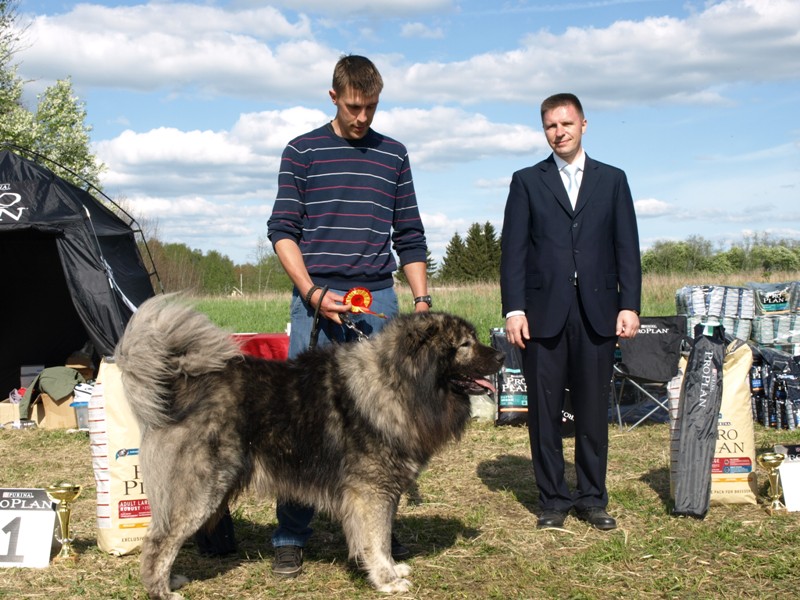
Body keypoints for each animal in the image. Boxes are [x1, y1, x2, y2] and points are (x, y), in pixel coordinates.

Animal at [115, 298, 504, 596]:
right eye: (465, 345)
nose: (501, 356)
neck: (395, 381)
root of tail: (180, 386)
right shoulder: (371, 492)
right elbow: (375, 540)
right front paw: (386, 580)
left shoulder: (384, 491)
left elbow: (382, 538)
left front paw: (393, 568)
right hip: (199, 493)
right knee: (158, 543)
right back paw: (162, 592)